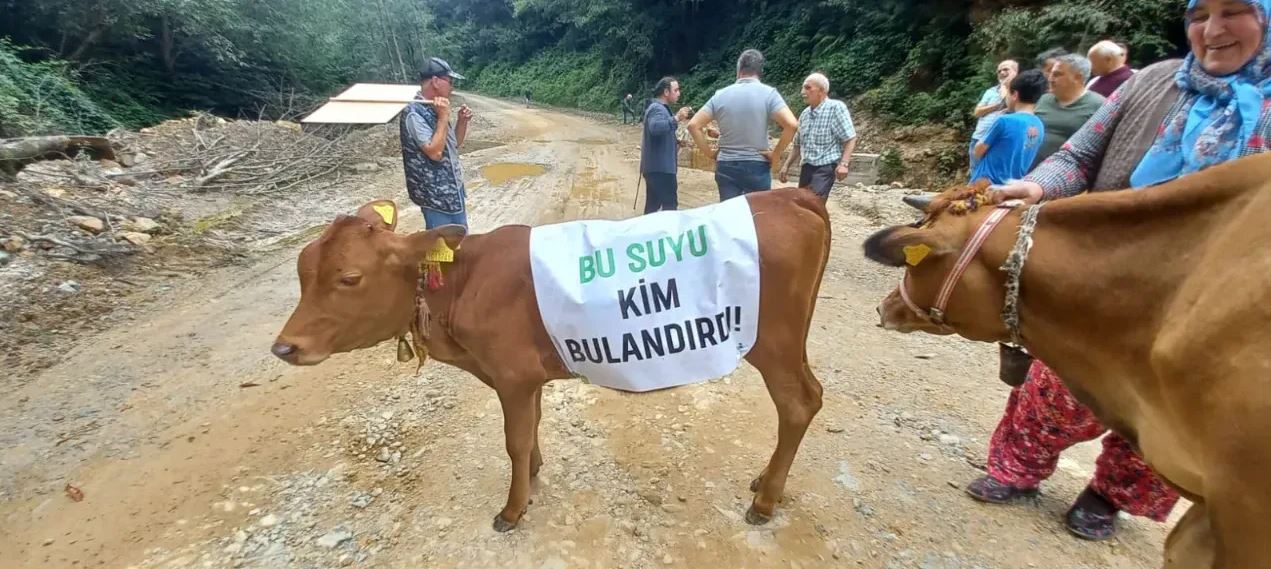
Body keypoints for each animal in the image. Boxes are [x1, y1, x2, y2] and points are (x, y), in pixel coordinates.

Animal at [271, 189, 828, 530]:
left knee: (798, 405)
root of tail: (785, 195)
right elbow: (533, 428)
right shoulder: (526, 376)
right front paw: (535, 471)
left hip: (772, 342)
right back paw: (765, 482)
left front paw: (513, 508)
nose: (284, 346)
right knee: (812, 396)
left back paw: (764, 502)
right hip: (789, 343)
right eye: (302, 270)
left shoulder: (513, 374)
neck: (465, 285)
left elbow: (514, 440)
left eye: (349, 278)